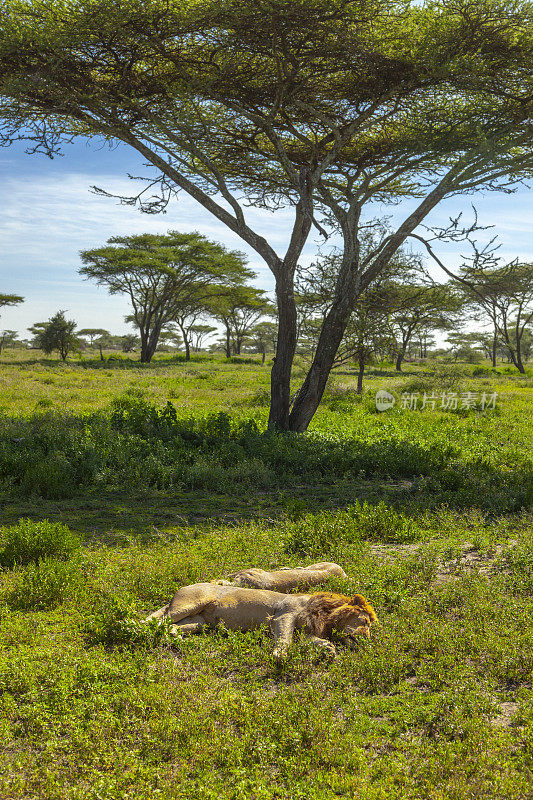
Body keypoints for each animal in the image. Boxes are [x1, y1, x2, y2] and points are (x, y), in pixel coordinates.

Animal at [145, 584, 376, 660]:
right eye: (365, 621)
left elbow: (308, 640)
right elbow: (284, 639)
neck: (325, 616)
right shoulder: (284, 615)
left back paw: (179, 639)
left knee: (171, 627)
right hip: (190, 603)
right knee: (157, 621)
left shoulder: (304, 631)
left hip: (199, 622)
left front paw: (328, 648)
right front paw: (279, 656)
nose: (367, 640)